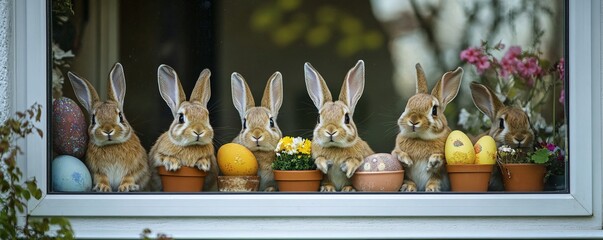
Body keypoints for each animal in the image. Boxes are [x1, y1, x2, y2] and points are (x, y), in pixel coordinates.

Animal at [68, 62, 151, 192]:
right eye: (93, 119)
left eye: (120, 116)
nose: (108, 130)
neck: (111, 145)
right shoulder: (96, 171)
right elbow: (101, 178)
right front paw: (102, 187)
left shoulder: (138, 168)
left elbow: (130, 176)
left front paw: (126, 186)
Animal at [304, 60, 376, 191]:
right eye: (318, 118)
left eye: (347, 118)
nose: (331, 130)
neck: (335, 147)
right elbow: (319, 159)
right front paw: (324, 166)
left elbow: (355, 160)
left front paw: (348, 168)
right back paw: (328, 188)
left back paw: (348, 189)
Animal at [394, 62, 464, 192]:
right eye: (408, 104)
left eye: (434, 110)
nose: (413, 120)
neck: (420, 138)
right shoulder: (395, 152)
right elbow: (397, 154)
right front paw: (406, 160)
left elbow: (438, 167)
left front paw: (434, 160)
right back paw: (408, 187)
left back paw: (432, 188)